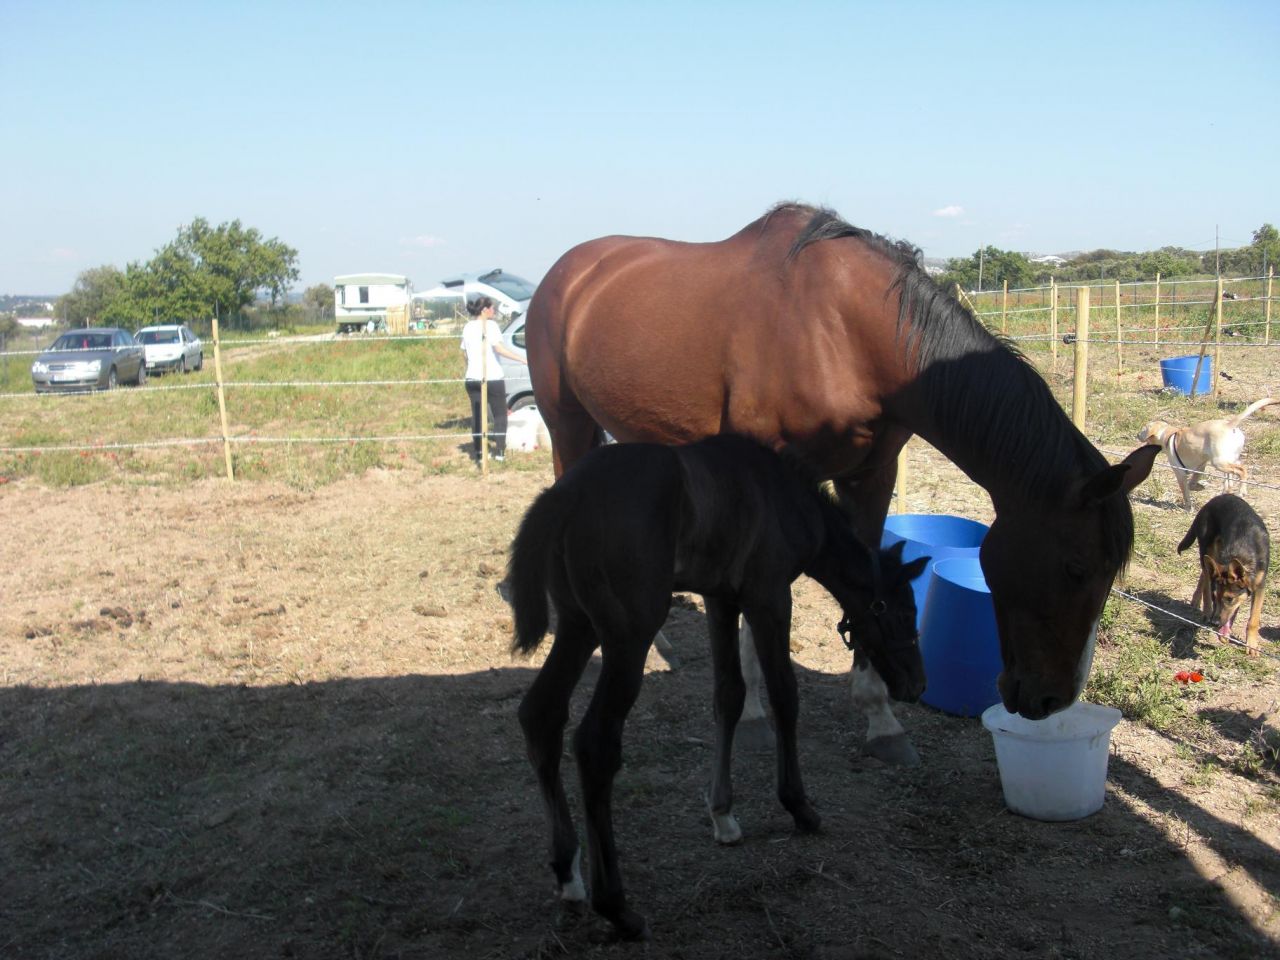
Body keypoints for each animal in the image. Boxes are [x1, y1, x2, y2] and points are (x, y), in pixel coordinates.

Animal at [509, 434, 927, 940]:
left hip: (577, 624)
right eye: (904, 612)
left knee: (541, 714)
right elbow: (785, 695)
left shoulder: (723, 598)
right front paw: (799, 806)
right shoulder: (770, 596)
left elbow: (729, 694)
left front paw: (724, 815)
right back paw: (617, 908)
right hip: (629, 635)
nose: (916, 684)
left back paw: (569, 876)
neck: (784, 495)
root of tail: (563, 496)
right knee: (595, 744)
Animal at [525, 202, 1159, 755]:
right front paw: (752, 714)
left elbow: (871, 577)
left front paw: (881, 719)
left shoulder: (871, 477)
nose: (1051, 700)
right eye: (1076, 569)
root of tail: (565, 273)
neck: (846, 335)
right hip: (568, 424)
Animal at [1138, 397, 1275, 510]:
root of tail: (1229, 425)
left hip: (1218, 462)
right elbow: (1192, 483)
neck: (1168, 435)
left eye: (1143, 429)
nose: (1137, 435)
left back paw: (1241, 490)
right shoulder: (1200, 466)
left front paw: (1188, 507)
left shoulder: (1180, 473)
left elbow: (1186, 491)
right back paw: (1227, 491)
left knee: (1242, 470)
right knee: (1230, 478)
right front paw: (1199, 487)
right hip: (1226, 460)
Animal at [1177, 493, 1270, 656]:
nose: (1214, 623)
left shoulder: (1259, 586)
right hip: (1207, 550)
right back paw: (1206, 610)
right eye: (1215, 597)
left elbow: (1253, 619)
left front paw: (1251, 645)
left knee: (1205, 574)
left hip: (1212, 557)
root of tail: (1213, 500)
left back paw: (1196, 600)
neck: (1244, 554)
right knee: (1206, 580)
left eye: (1229, 598)